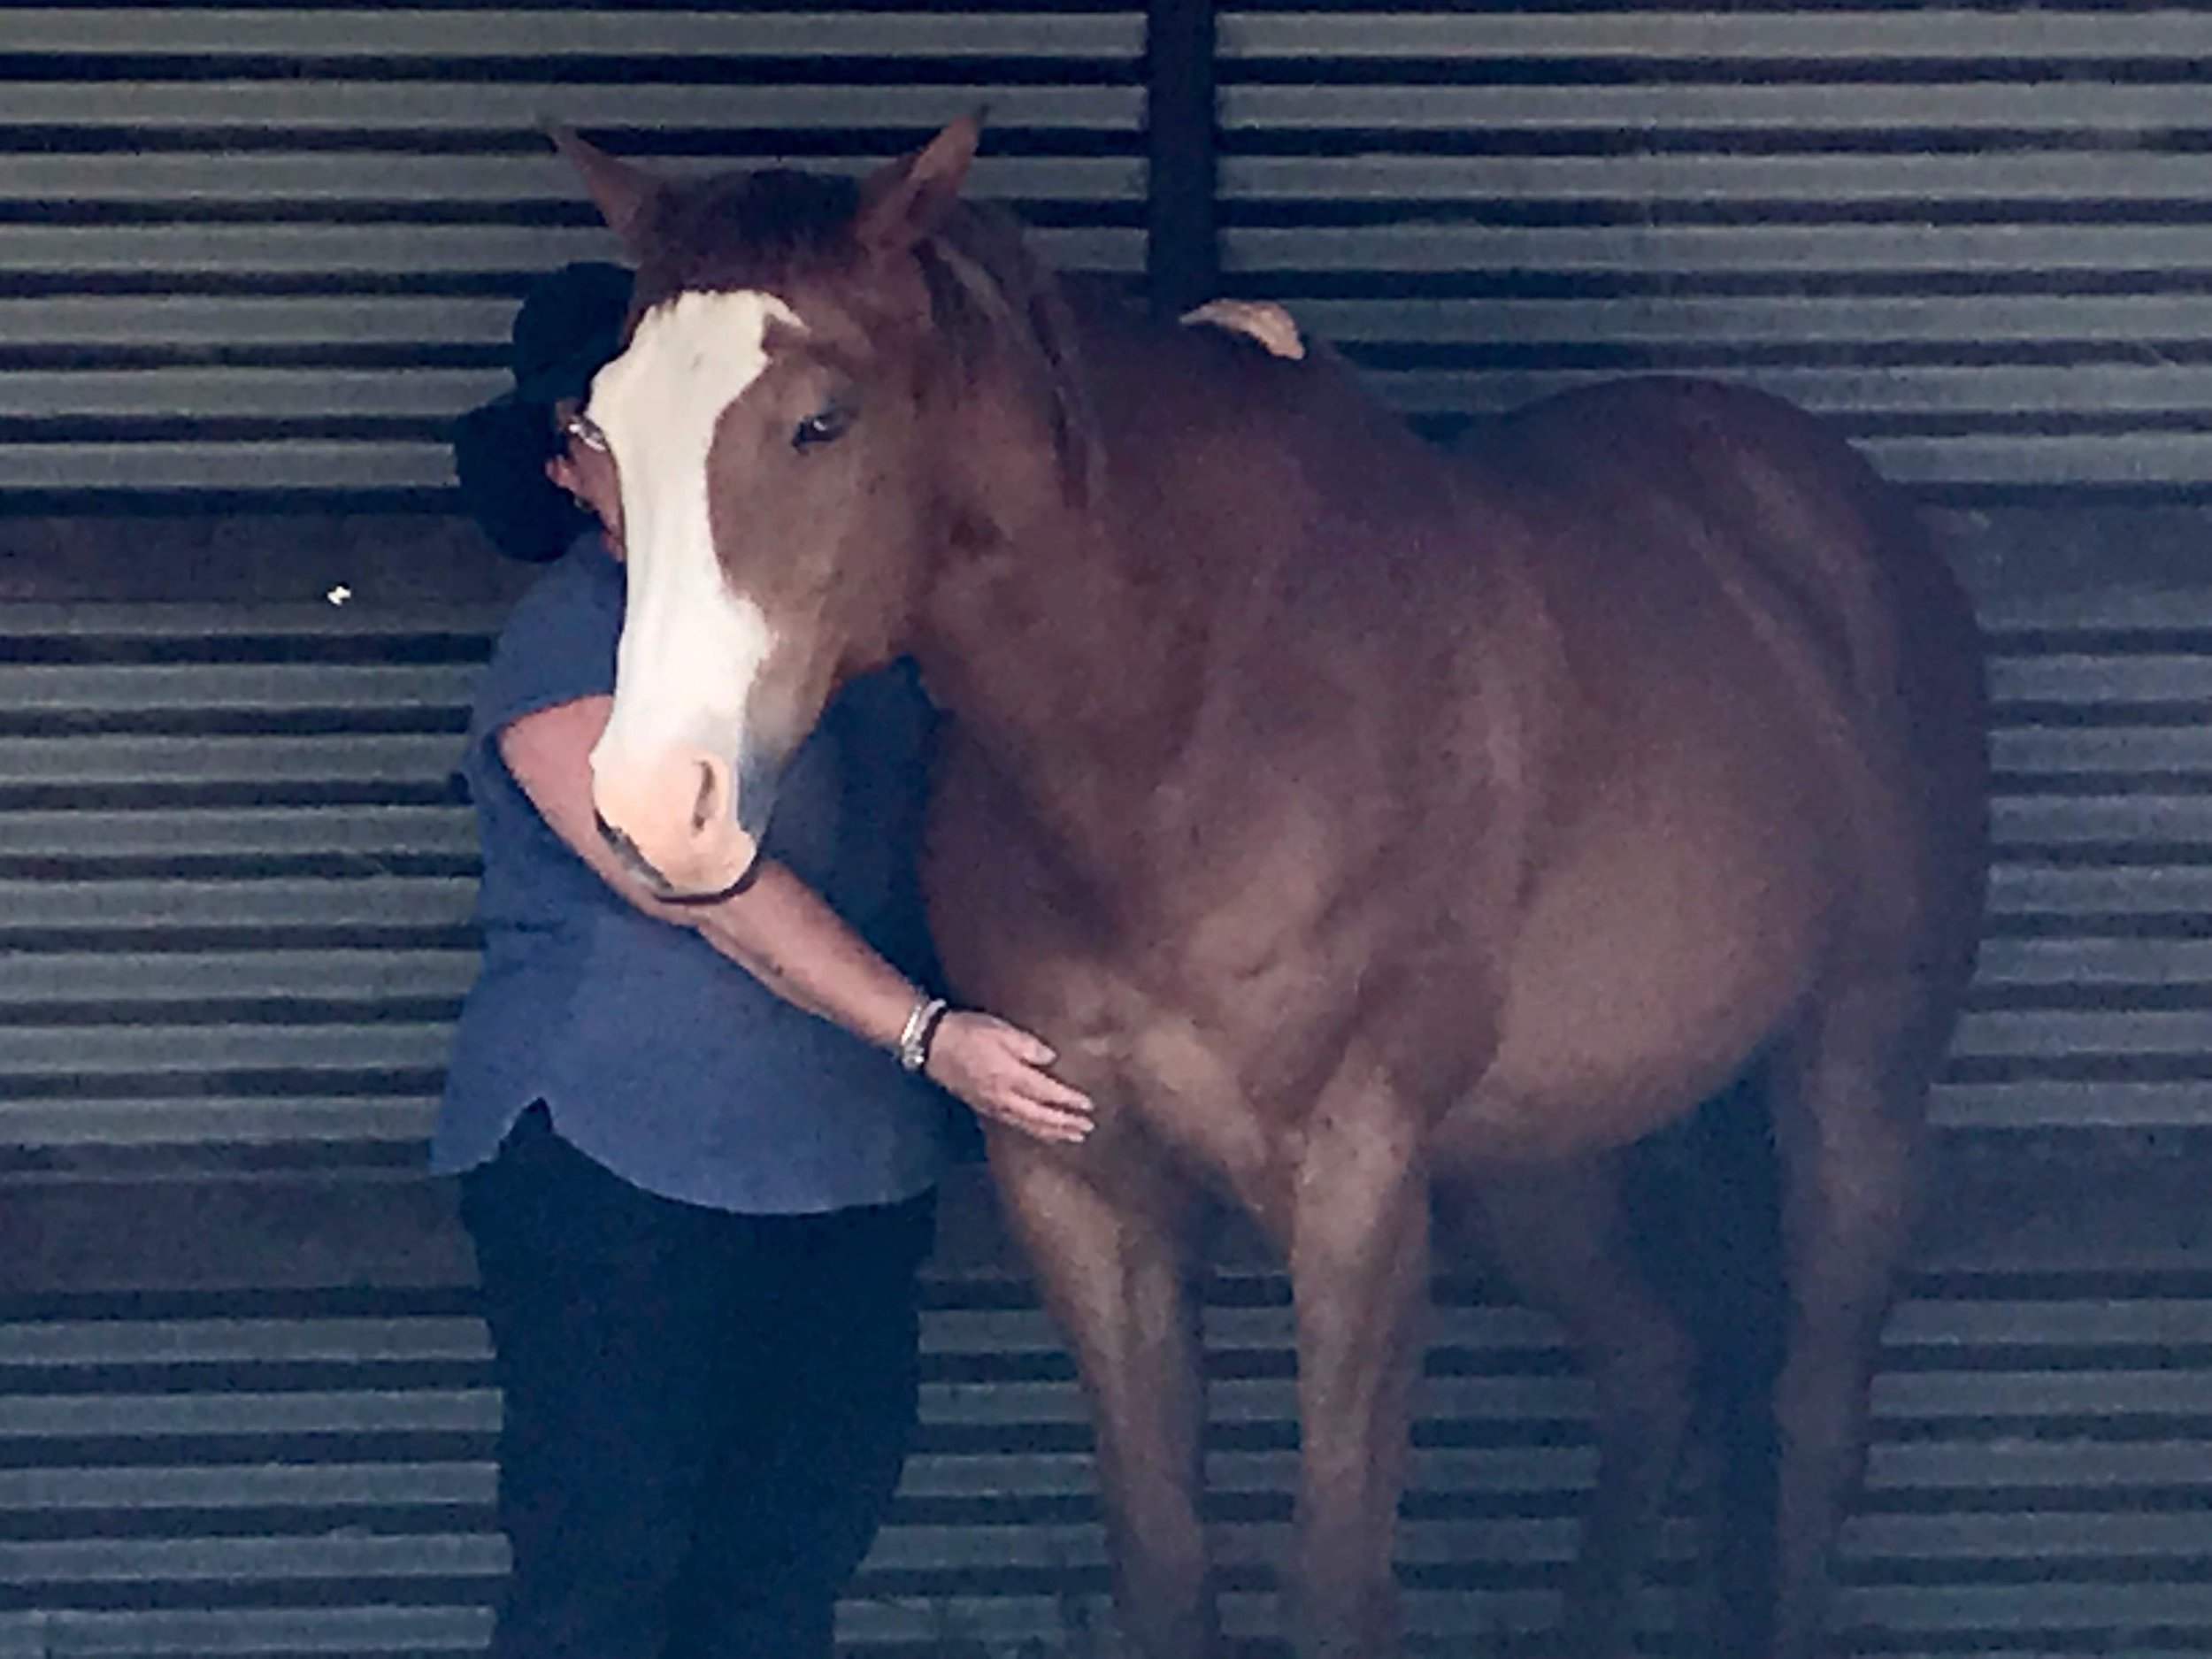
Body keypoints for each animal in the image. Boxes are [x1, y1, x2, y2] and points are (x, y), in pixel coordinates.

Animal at [554, 118, 1990, 1659]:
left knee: (1809, 1406)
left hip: (1857, 1070)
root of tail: (1812, 512)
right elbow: (1164, 1564)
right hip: (1541, 1156)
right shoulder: (1082, 1184)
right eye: (604, 425)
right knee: (1658, 1363)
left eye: (822, 419)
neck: (1187, 715)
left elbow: (1337, 1580)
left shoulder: (1357, 1192)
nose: (655, 801)